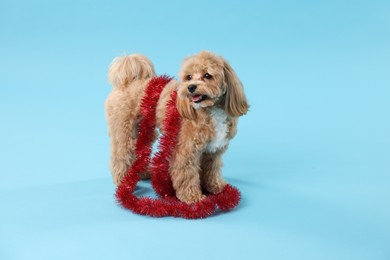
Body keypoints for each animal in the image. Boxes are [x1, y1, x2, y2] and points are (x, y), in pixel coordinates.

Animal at [105, 50, 248, 204]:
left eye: (207, 75)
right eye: (189, 77)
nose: (191, 87)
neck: (210, 109)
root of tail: (127, 82)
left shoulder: (213, 151)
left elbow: (212, 170)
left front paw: (215, 186)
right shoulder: (186, 150)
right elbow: (187, 174)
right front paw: (192, 197)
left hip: (144, 130)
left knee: (140, 151)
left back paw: (141, 172)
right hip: (124, 130)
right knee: (121, 154)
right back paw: (123, 179)